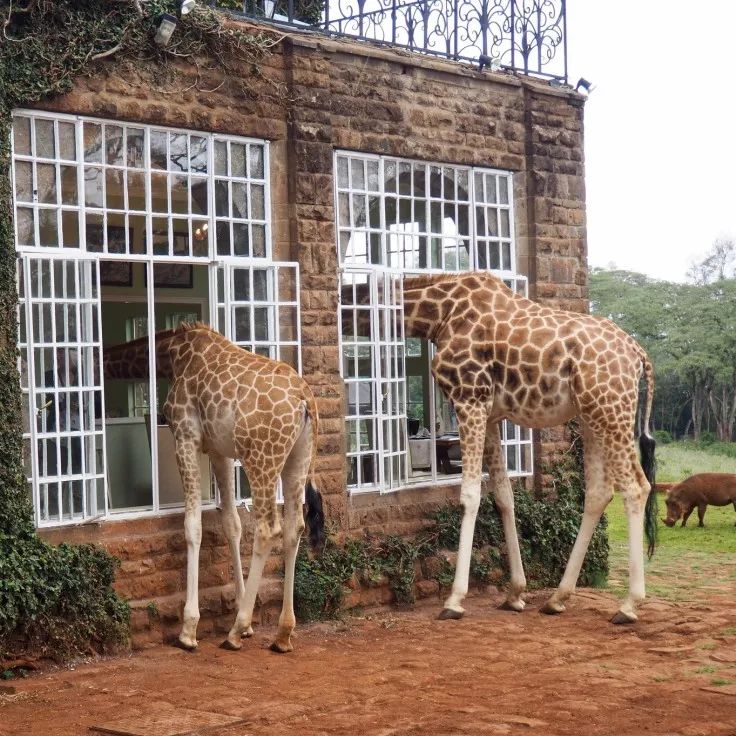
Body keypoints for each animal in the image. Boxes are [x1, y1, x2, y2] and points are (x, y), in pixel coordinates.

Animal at [104, 324, 324, 652]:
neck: (171, 354)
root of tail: (305, 399)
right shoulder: (220, 450)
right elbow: (231, 523)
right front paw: (246, 617)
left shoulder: (185, 435)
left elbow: (192, 526)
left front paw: (189, 629)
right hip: (298, 458)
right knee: (294, 527)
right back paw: (283, 634)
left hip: (261, 457)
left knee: (267, 528)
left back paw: (235, 632)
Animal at [402, 274, 656, 624]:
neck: (440, 314)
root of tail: (638, 354)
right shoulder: (491, 414)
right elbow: (503, 495)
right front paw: (515, 593)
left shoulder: (469, 399)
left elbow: (470, 495)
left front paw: (454, 600)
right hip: (591, 415)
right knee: (599, 492)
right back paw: (557, 598)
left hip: (611, 410)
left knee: (635, 487)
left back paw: (628, 606)